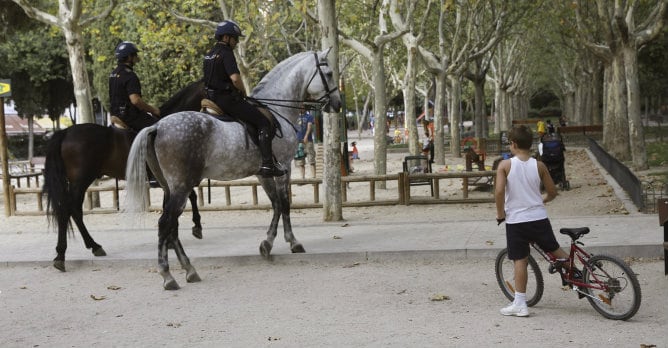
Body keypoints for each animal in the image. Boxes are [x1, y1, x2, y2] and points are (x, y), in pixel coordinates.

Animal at [43, 79, 205, 272]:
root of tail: (66, 132)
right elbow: (190, 197)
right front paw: (195, 227)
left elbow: (171, 204)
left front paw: (171, 237)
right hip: (81, 180)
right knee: (70, 208)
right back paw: (66, 253)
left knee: (73, 209)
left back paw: (90, 247)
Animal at [124, 48, 342, 288]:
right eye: (329, 73)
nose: (338, 103)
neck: (277, 109)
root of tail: (157, 126)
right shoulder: (284, 167)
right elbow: (285, 204)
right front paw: (292, 242)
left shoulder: (264, 173)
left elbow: (276, 204)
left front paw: (267, 244)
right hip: (181, 186)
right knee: (166, 224)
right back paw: (168, 275)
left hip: (170, 187)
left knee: (172, 227)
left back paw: (189, 270)